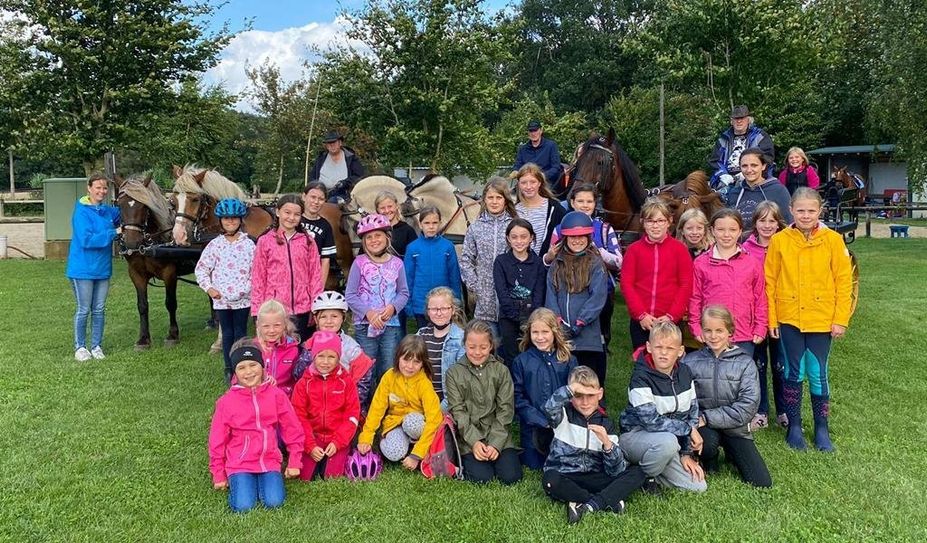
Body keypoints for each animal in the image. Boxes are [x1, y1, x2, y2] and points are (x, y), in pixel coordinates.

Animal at [116, 174, 196, 352]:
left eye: (144, 205)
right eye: (119, 204)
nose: (131, 242)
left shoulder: (169, 273)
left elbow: (170, 303)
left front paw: (172, 335)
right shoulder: (136, 274)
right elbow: (142, 305)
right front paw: (143, 339)